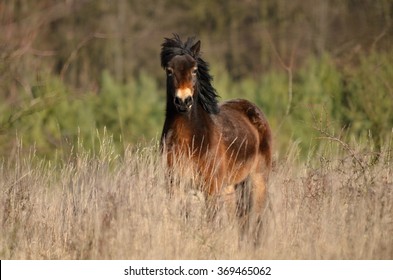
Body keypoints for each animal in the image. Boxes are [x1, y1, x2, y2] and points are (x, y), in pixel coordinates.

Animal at [158, 34, 270, 232]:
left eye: (194, 70)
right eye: (170, 71)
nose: (183, 101)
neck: (189, 140)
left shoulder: (211, 189)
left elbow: (211, 222)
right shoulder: (175, 186)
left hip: (257, 180)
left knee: (255, 220)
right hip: (233, 186)